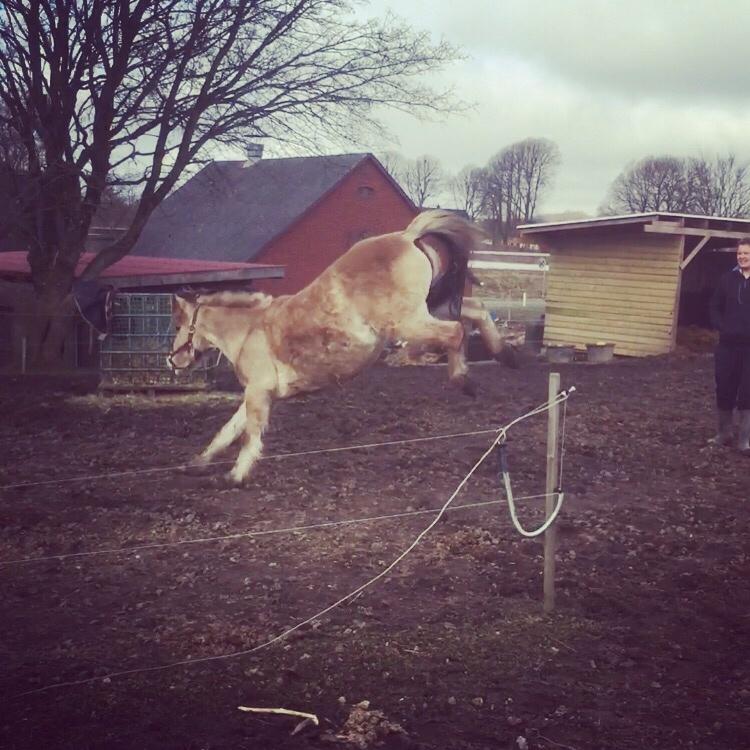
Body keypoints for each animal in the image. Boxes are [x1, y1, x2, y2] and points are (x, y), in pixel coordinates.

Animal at [168, 209, 520, 484]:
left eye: (177, 325)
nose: (173, 360)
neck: (251, 330)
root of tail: (406, 236)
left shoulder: (258, 393)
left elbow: (248, 434)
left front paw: (237, 475)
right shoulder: (259, 395)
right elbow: (227, 431)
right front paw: (197, 463)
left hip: (409, 323)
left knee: (456, 332)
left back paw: (465, 380)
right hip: (431, 308)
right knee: (475, 310)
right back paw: (505, 354)